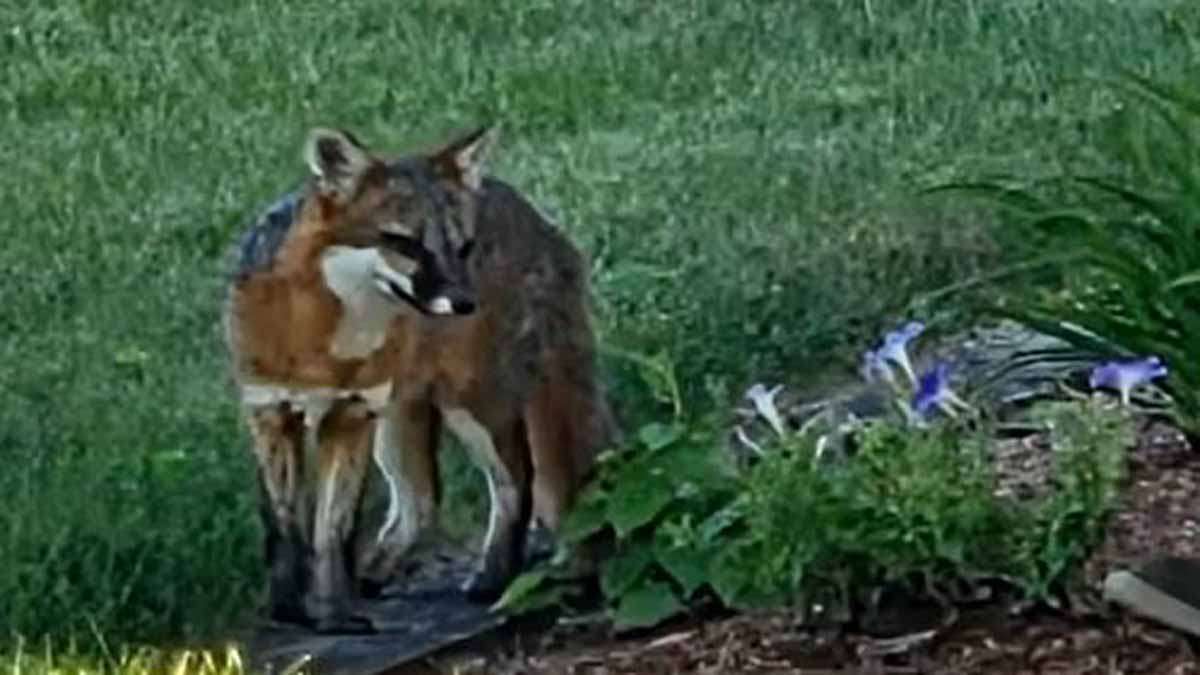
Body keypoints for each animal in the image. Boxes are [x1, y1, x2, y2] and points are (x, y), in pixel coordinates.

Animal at [223, 125, 619, 632]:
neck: (325, 344)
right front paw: (289, 610)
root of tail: (538, 218)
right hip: (398, 421)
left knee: (517, 481)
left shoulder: (353, 414)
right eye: (405, 243)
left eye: (463, 247)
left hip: (470, 404)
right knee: (422, 503)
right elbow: (283, 529)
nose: (464, 302)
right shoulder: (270, 411)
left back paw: (493, 579)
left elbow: (333, 531)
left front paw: (333, 614)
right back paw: (374, 574)